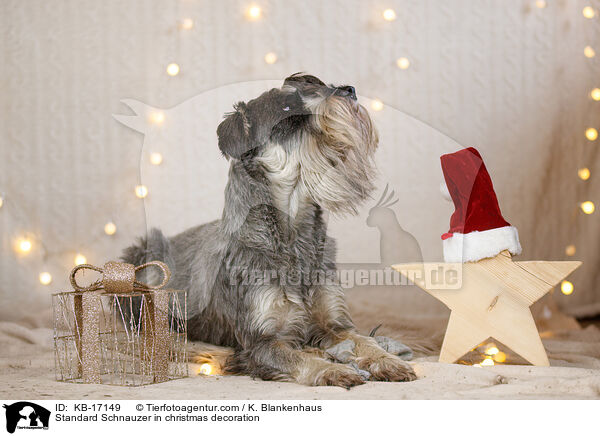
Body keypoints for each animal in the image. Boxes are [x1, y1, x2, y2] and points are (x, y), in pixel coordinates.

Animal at [122, 73, 418, 386]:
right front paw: (332, 369)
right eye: (286, 108)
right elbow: (298, 358)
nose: (349, 90)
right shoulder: (261, 342)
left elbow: (364, 341)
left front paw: (388, 361)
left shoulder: (336, 323)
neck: (294, 236)